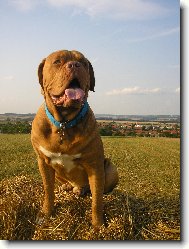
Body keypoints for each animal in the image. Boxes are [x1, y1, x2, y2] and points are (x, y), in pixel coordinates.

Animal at [31, 50, 119, 228]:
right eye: (57, 61)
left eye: (83, 63)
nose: (74, 65)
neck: (64, 123)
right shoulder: (43, 161)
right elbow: (48, 190)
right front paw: (46, 213)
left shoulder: (94, 165)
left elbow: (97, 200)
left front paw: (98, 226)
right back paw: (67, 187)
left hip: (111, 169)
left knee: (100, 191)